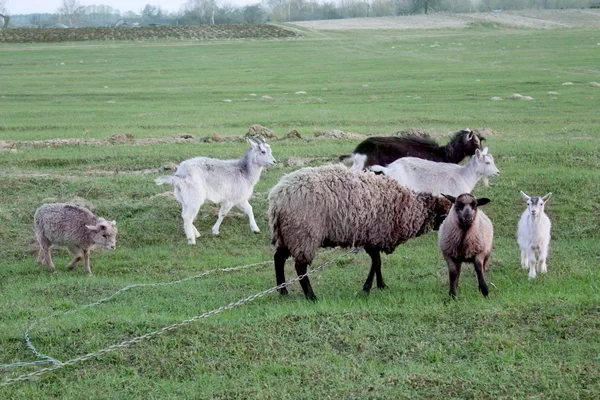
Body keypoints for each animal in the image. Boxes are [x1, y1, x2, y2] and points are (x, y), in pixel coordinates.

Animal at [270, 163, 452, 300]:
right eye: (445, 214)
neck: (407, 207)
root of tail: (278, 197)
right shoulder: (373, 236)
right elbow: (376, 262)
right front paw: (367, 288)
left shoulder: (374, 238)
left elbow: (378, 262)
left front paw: (381, 285)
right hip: (303, 233)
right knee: (300, 267)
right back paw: (311, 296)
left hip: (287, 233)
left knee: (278, 258)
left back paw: (283, 290)